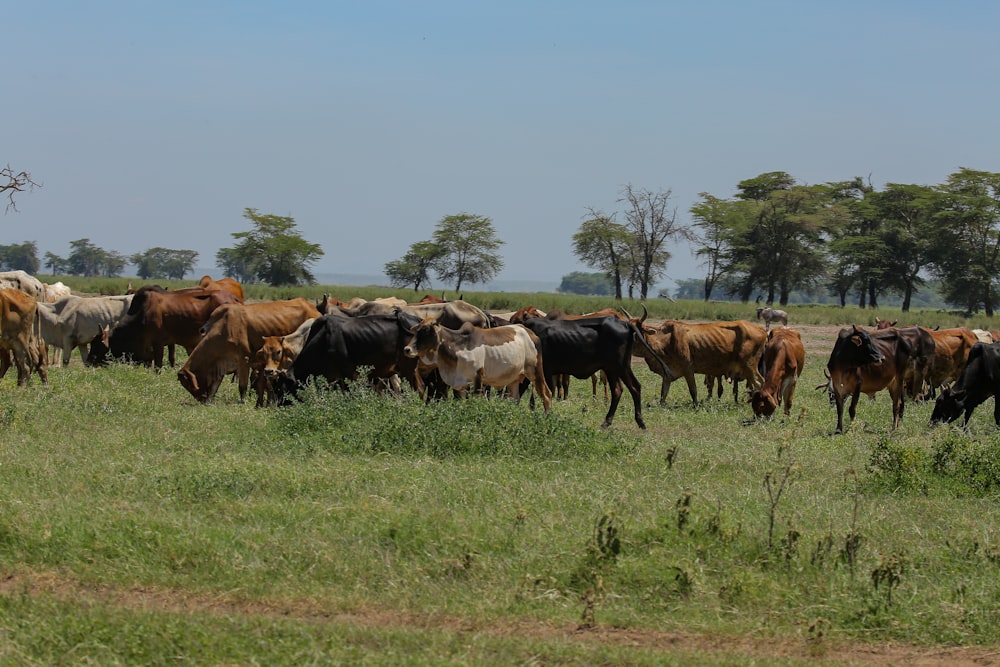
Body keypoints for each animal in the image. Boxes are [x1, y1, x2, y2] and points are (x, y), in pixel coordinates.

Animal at [177, 300, 320, 404]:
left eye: (187, 385)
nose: (200, 399)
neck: (223, 329)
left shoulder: (244, 361)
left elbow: (242, 386)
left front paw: (242, 402)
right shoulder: (222, 363)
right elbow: (214, 386)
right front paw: (209, 401)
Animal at [400, 318, 556, 412]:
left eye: (426, 331)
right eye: (416, 330)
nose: (407, 349)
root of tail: (530, 333)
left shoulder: (478, 379)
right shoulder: (460, 383)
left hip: (535, 372)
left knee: (547, 395)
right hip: (514, 380)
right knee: (515, 399)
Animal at [632, 320, 764, 408]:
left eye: (635, 333)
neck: (666, 340)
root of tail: (762, 329)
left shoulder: (688, 369)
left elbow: (693, 390)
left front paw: (696, 406)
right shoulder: (667, 374)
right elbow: (663, 393)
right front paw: (661, 405)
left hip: (749, 367)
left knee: (759, 384)